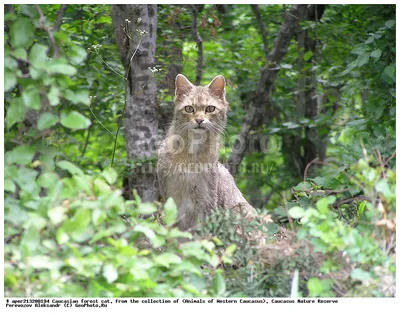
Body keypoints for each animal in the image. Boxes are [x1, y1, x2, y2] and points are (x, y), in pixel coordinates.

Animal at [156, 73, 256, 231]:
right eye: (189, 109)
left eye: (210, 109)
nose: (199, 120)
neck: (192, 152)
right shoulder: (169, 194)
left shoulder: (207, 197)